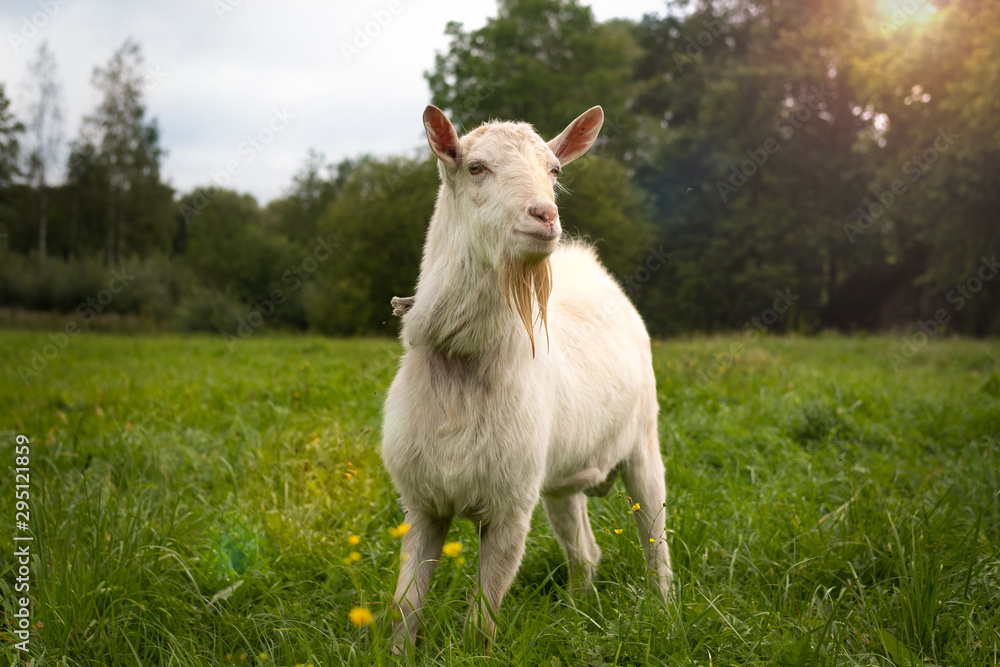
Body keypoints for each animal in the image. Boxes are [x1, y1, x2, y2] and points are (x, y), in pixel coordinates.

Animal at [382, 105, 672, 652]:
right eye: (475, 167)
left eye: (554, 170)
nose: (545, 216)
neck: (464, 359)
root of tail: (589, 264)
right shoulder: (422, 503)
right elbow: (405, 606)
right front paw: (395, 653)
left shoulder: (512, 507)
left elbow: (482, 619)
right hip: (561, 477)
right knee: (585, 549)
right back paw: (581, 613)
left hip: (644, 441)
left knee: (654, 537)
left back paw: (666, 613)